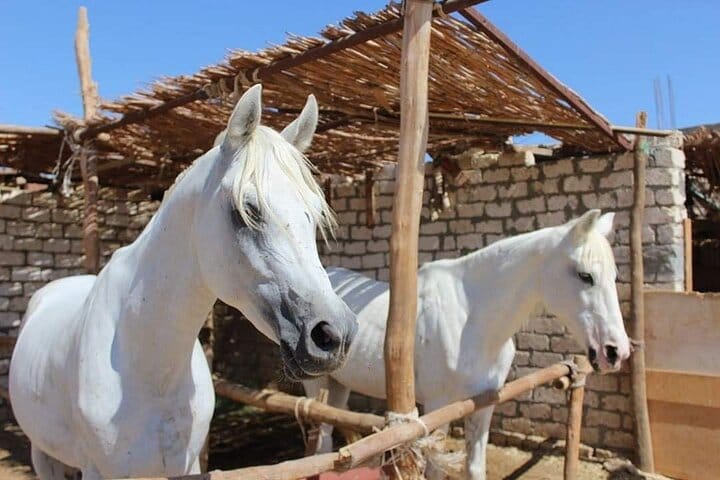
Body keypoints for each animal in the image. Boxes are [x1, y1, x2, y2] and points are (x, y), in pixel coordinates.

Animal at [9, 84, 358, 480]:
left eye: (314, 214)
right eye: (247, 210)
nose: (334, 335)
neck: (151, 367)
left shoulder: (187, 465)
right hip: (43, 455)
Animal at [304, 210, 630, 480]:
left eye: (613, 276)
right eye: (585, 275)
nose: (616, 352)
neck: (469, 320)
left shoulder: (484, 404)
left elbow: (475, 468)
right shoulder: (438, 407)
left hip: (339, 383)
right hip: (316, 383)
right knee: (320, 440)